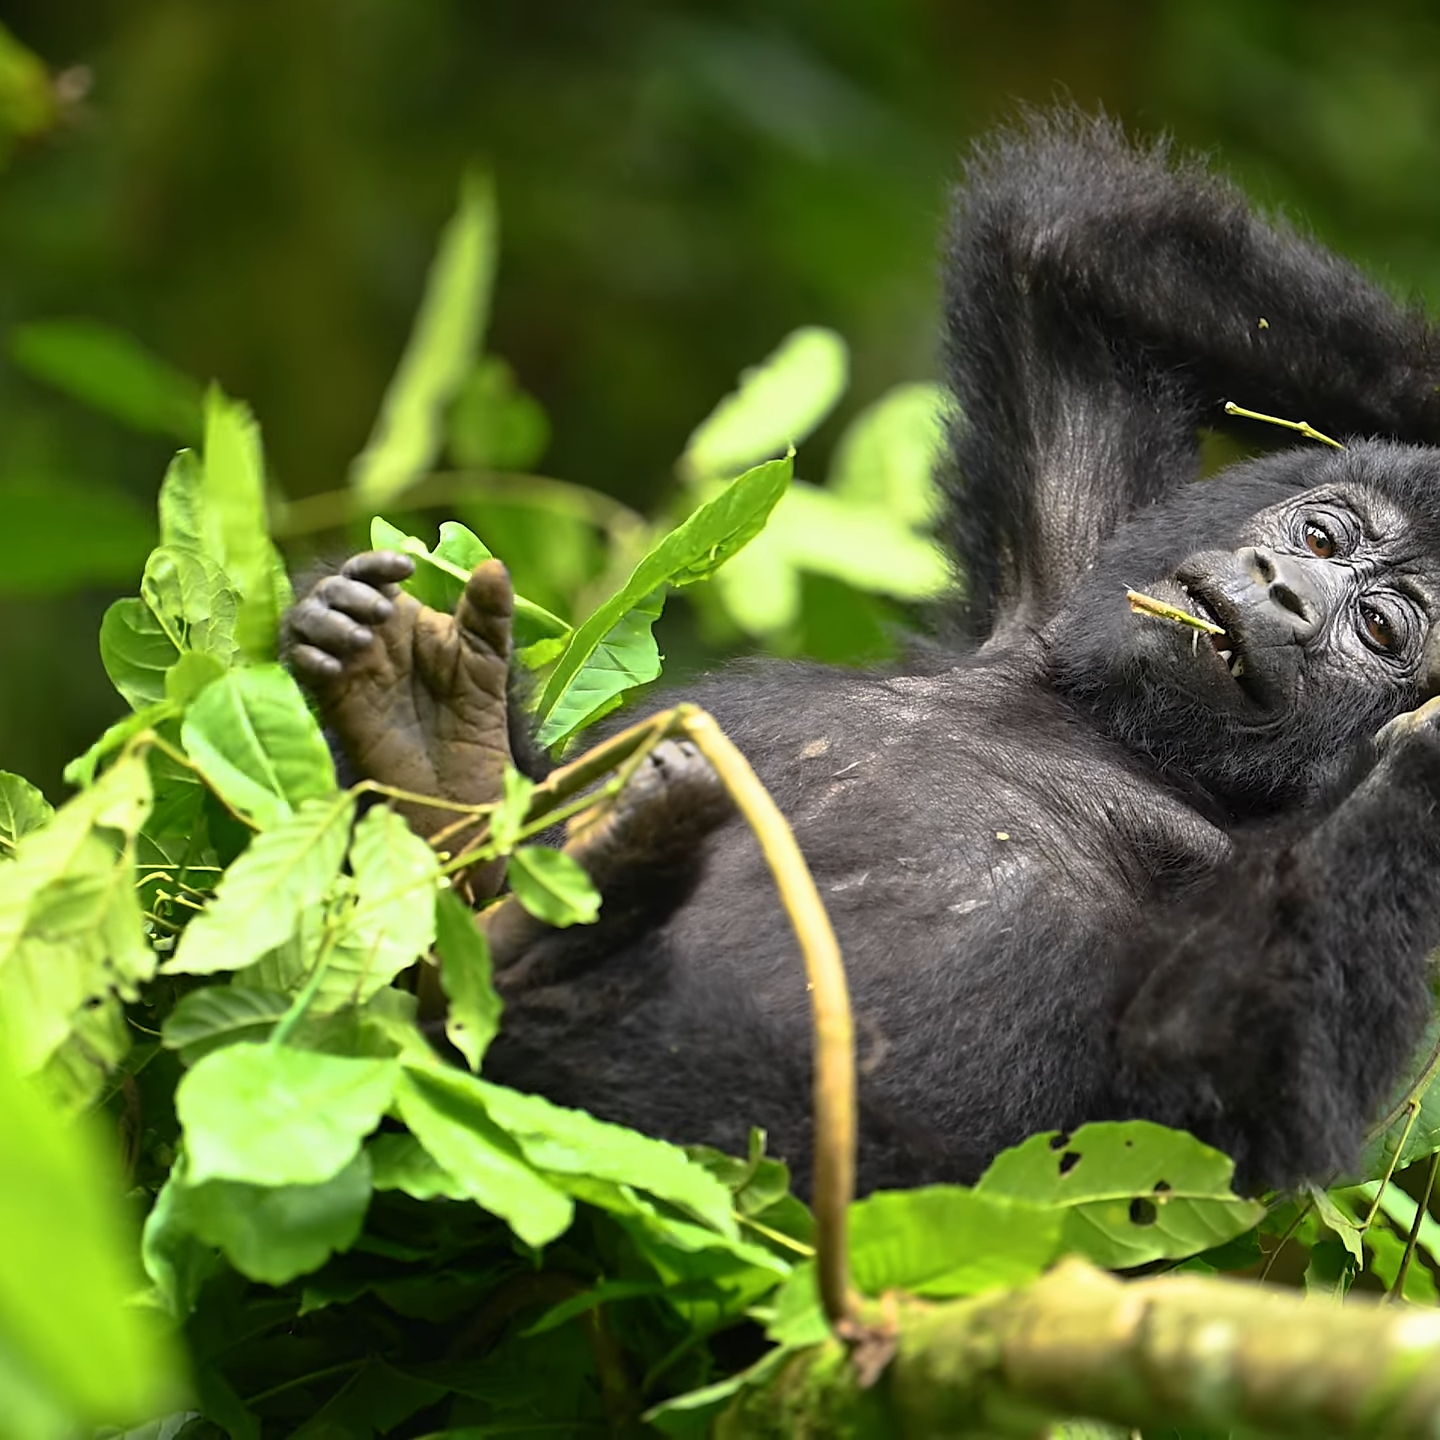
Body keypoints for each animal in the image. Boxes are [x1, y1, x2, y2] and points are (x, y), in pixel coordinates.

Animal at [283, 109, 1440, 1192]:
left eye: (1382, 630)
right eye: (1323, 537)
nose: (1286, 593)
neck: (1122, 735)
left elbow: (1214, 1085)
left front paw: (1425, 752)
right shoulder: (1062, 584)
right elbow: (1065, 243)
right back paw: (440, 760)